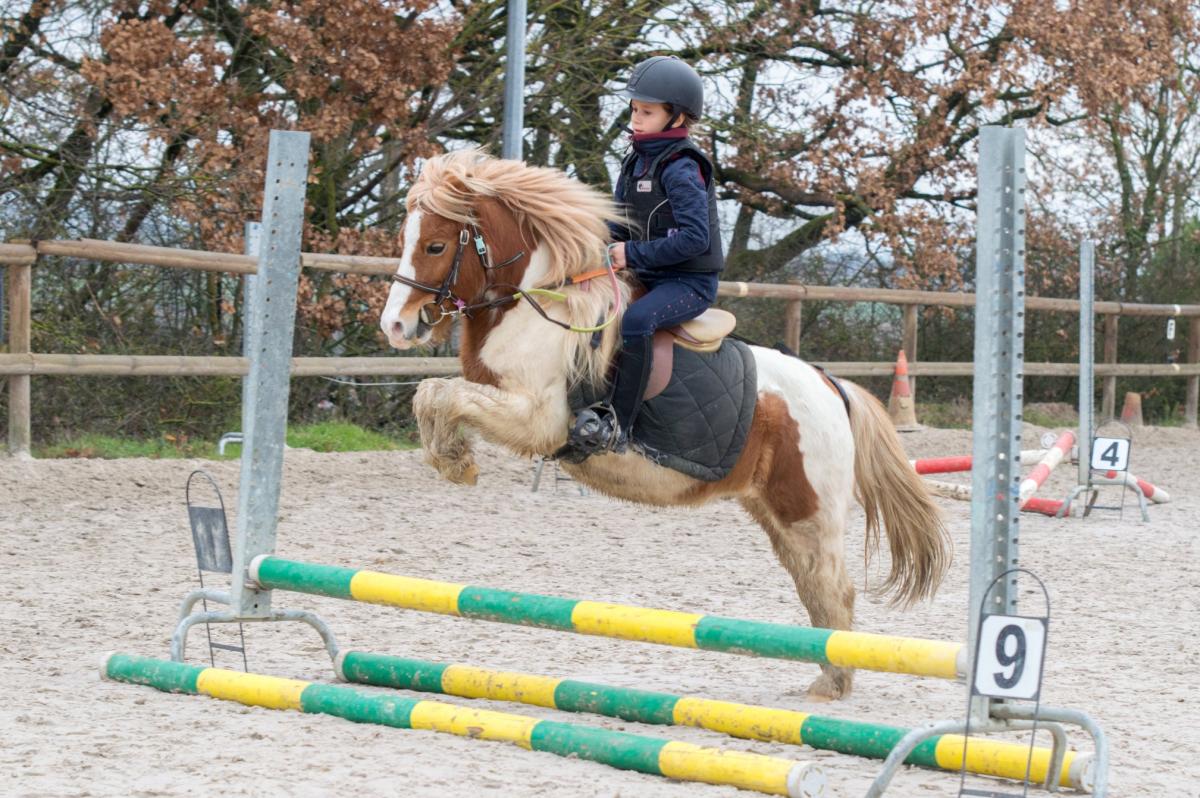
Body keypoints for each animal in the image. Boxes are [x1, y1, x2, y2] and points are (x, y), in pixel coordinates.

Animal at [379, 149, 950, 696]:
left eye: (435, 246)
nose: (396, 327)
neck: (538, 307)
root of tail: (833, 389)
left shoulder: (537, 418)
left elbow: (444, 395)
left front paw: (456, 463)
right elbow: (433, 393)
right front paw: (451, 458)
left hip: (810, 511)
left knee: (835, 589)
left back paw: (833, 685)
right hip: (775, 512)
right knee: (814, 587)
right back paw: (827, 678)